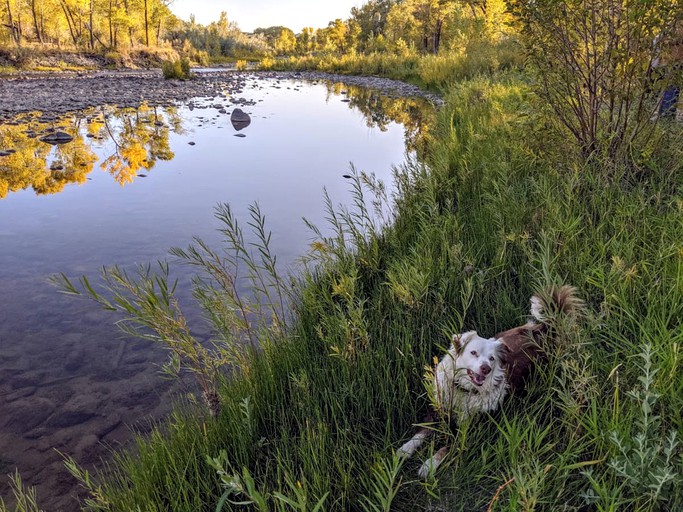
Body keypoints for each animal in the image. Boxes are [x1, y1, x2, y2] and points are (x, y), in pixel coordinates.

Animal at [396, 286, 584, 478]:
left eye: (492, 359)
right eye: (473, 353)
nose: (486, 368)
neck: (464, 390)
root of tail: (545, 328)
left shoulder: (469, 430)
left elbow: (446, 447)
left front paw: (429, 465)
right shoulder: (438, 409)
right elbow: (422, 430)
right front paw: (405, 449)